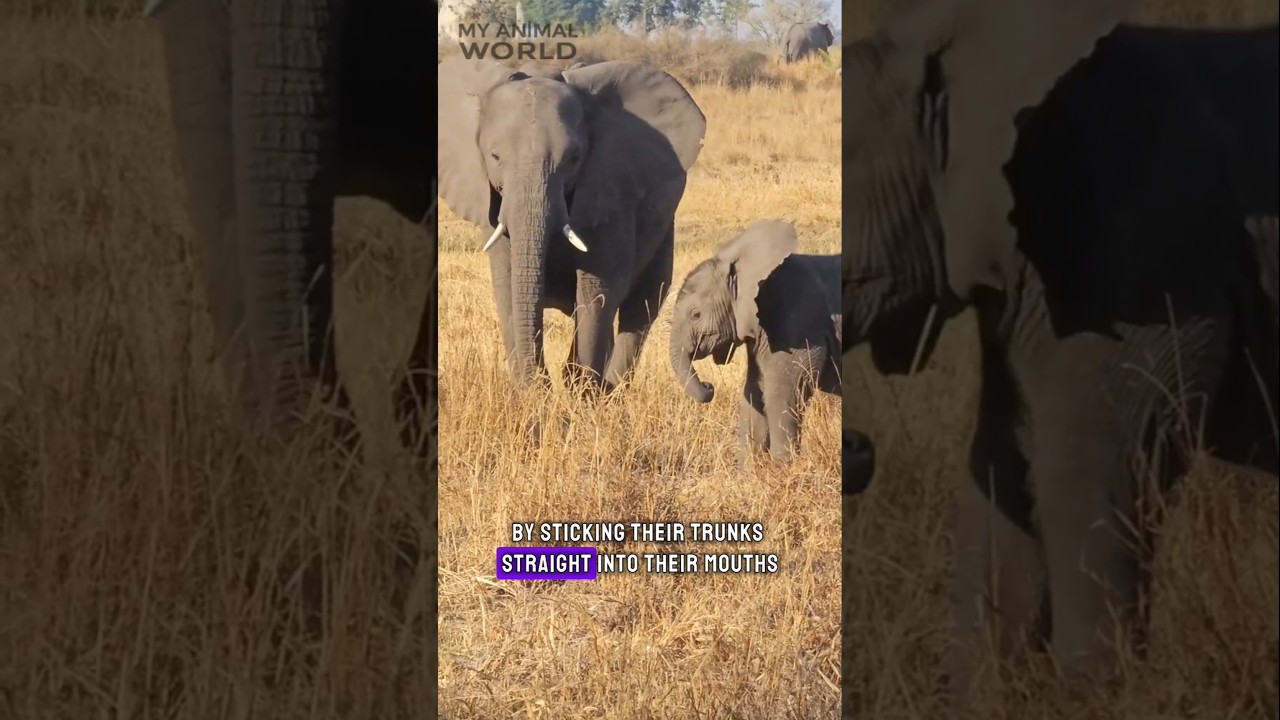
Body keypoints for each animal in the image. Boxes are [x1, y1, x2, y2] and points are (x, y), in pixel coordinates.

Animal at [437, 58, 707, 395]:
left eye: (574, 157)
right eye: (495, 156)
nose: (542, 384)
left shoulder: (609, 191)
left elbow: (597, 288)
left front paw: (579, 394)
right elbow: (508, 286)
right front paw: (532, 395)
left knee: (642, 305)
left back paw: (610, 391)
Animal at [668, 220, 840, 462]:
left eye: (696, 315)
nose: (708, 386)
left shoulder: (796, 323)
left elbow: (782, 392)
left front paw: (783, 468)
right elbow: (754, 390)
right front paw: (747, 469)